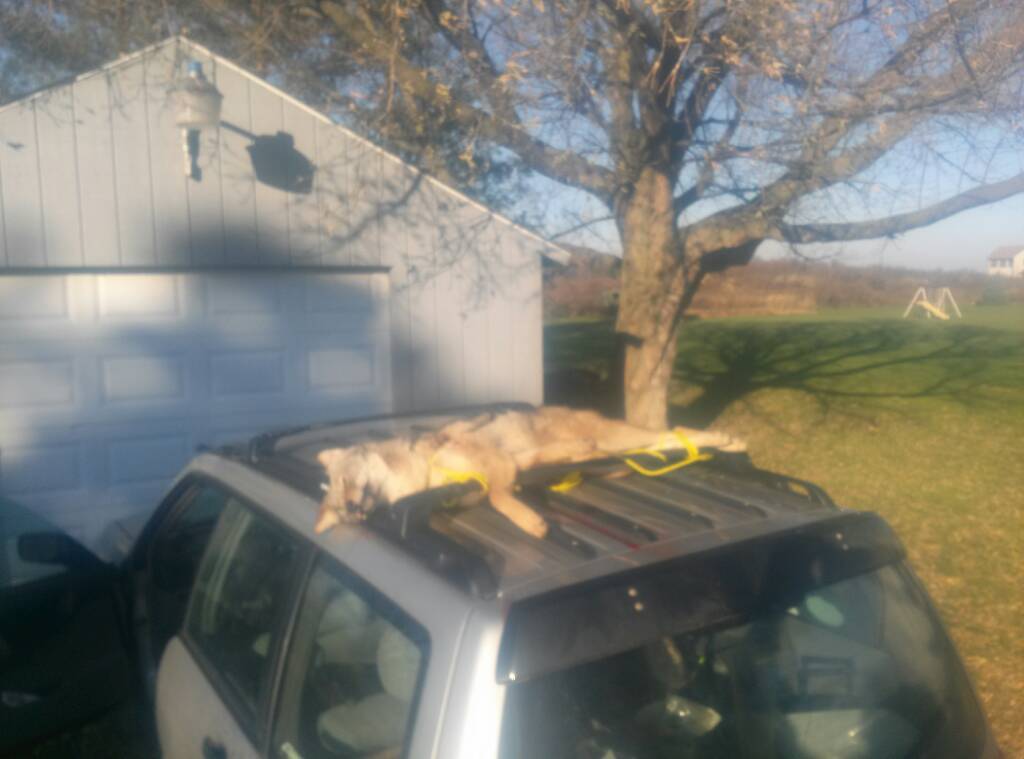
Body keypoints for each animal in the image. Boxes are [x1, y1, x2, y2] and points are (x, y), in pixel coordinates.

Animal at [315, 407, 745, 539]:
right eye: (337, 508)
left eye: (345, 480)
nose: (352, 510)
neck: (426, 471)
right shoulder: (506, 467)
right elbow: (501, 489)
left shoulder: (495, 464)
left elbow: (498, 497)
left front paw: (529, 522)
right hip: (621, 450)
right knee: (665, 441)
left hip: (626, 437)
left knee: (676, 431)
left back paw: (730, 440)